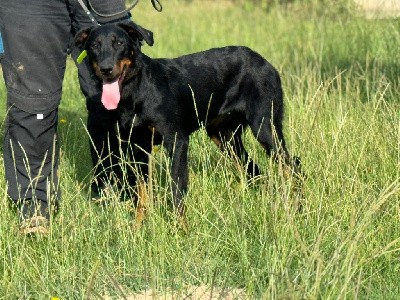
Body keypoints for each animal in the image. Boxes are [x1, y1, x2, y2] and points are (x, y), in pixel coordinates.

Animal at [75, 22, 302, 216]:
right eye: (94, 45)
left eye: (119, 43)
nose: (106, 69)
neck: (134, 93)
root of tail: (264, 62)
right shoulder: (137, 147)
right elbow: (142, 195)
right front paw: (139, 228)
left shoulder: (177, 141)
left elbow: (177, 191)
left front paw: (180, 229)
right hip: (225, 137)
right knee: (253, 168)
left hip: (265, 127)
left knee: (293, 166)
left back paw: (299, 205)